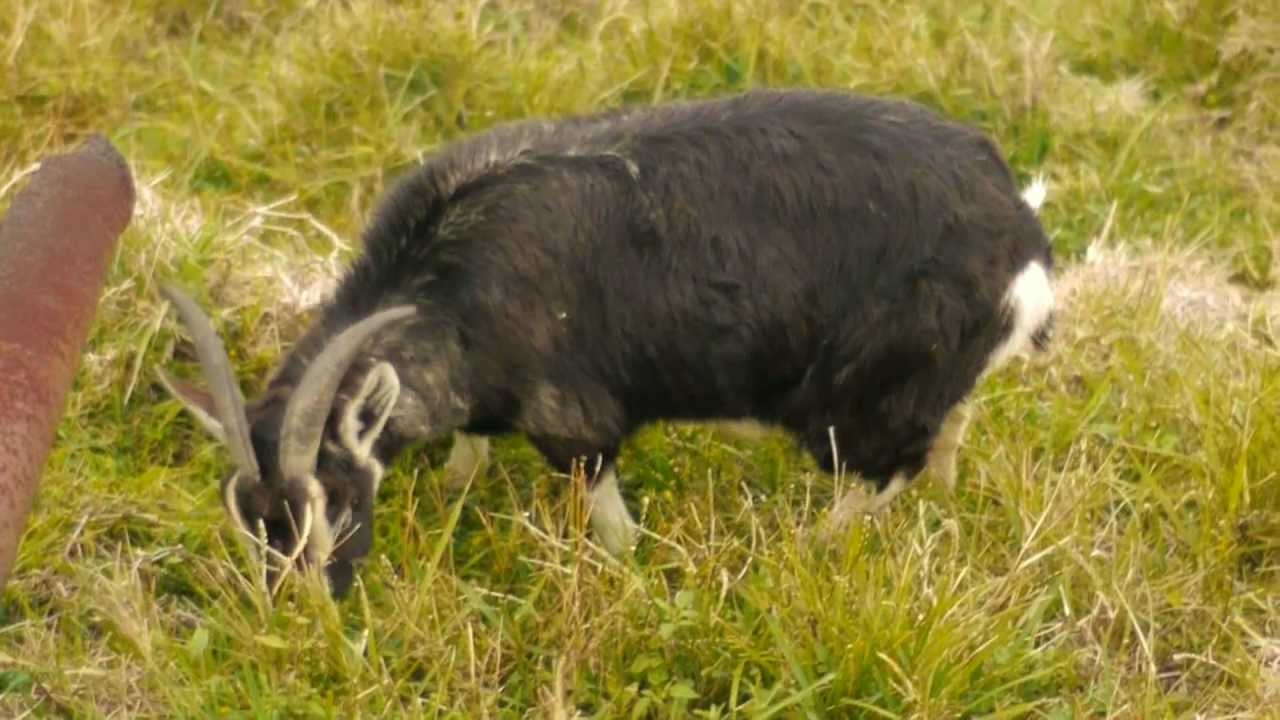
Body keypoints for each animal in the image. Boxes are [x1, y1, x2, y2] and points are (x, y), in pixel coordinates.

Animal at [157, 88, 1055, 598]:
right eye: (245, 518)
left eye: (336, 501)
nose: (302, 604)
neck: (452, 271)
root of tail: (1016, 225)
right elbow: (468, 452)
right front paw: (452, 490)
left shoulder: (574, 418)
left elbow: (609, 520)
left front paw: (626, 574)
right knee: (945, 434)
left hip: (864, 395)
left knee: (882, 467)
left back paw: (809, 547)